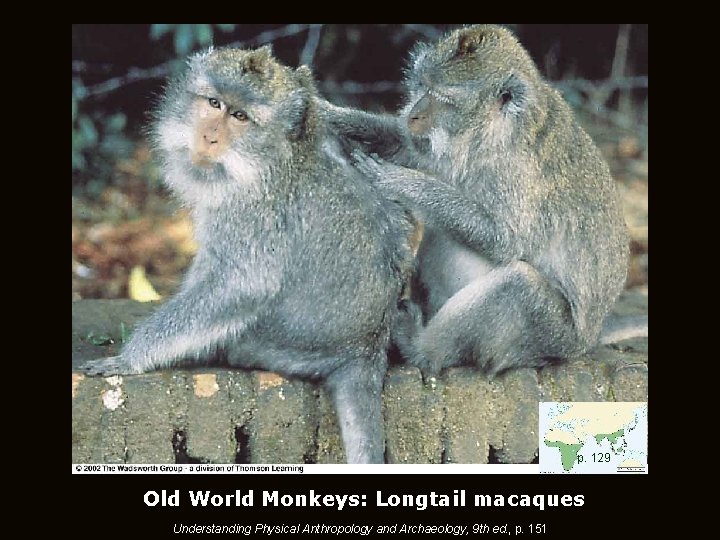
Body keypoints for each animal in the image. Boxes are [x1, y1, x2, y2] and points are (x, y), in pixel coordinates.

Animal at [79, 45, 417, 464]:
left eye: (240, 116)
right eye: (214, 103)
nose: (208, 137)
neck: (273, 157)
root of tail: (367, 347)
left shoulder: (249, 211)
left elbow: (243, 286)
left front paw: (131, 357)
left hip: (278, 348)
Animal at [319, 24, 644, 377]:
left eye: (445, 99)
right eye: (422, 87)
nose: (414, 116)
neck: (493, 132)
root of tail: (588, 340)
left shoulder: (510, 172)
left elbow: (505, 241)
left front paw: (397, 180)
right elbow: (404, 146)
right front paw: (327, 113)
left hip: (549, 337)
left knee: (519, 286)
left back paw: (420, 348)